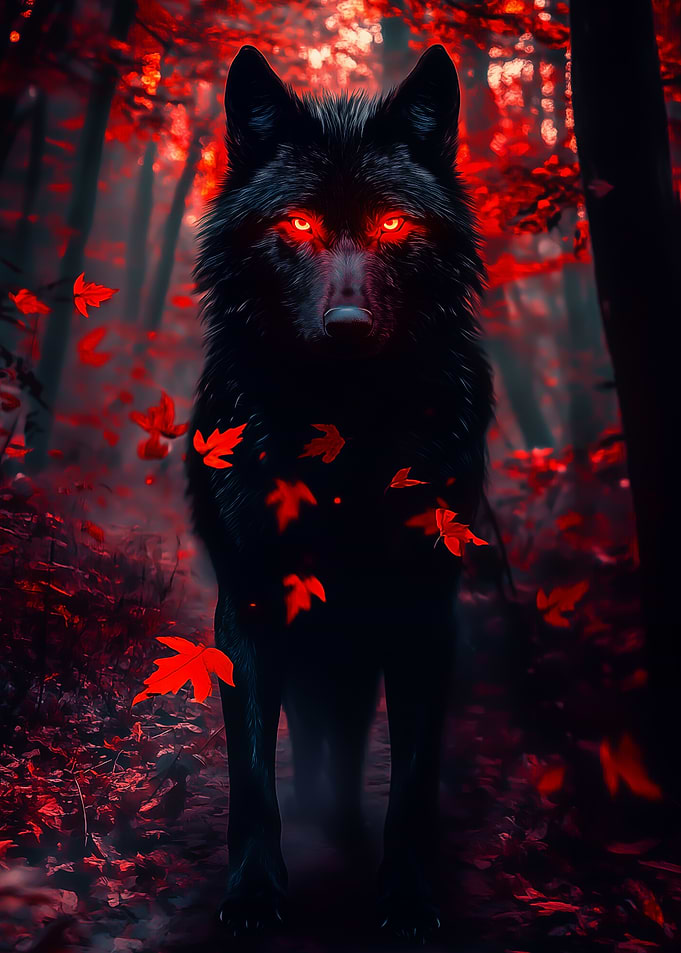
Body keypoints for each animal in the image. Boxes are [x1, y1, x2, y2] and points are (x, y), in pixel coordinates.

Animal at [187, 43, 494, 942]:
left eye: (393, 226)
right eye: (295, 226)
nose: (348, 325)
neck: (343, 440)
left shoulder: (423, 610)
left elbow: (412, 783)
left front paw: (408, 899)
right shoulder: (250, 607)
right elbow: (253, 778)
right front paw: (255, 896)